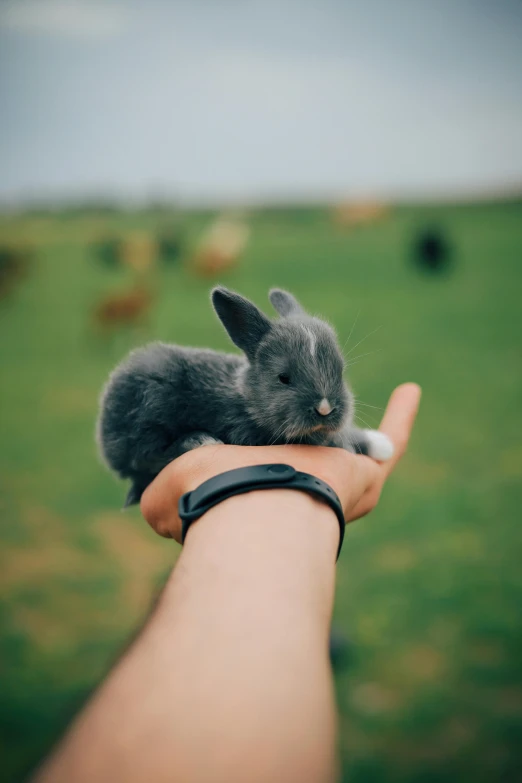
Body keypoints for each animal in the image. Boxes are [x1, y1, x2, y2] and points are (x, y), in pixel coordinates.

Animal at [96, 290, 390, 508]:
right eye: (284, 378)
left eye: (340, 371)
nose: (325, 408)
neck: (247, 400)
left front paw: (382, 444)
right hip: (149, 412)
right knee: (147, 460)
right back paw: (199, 440)